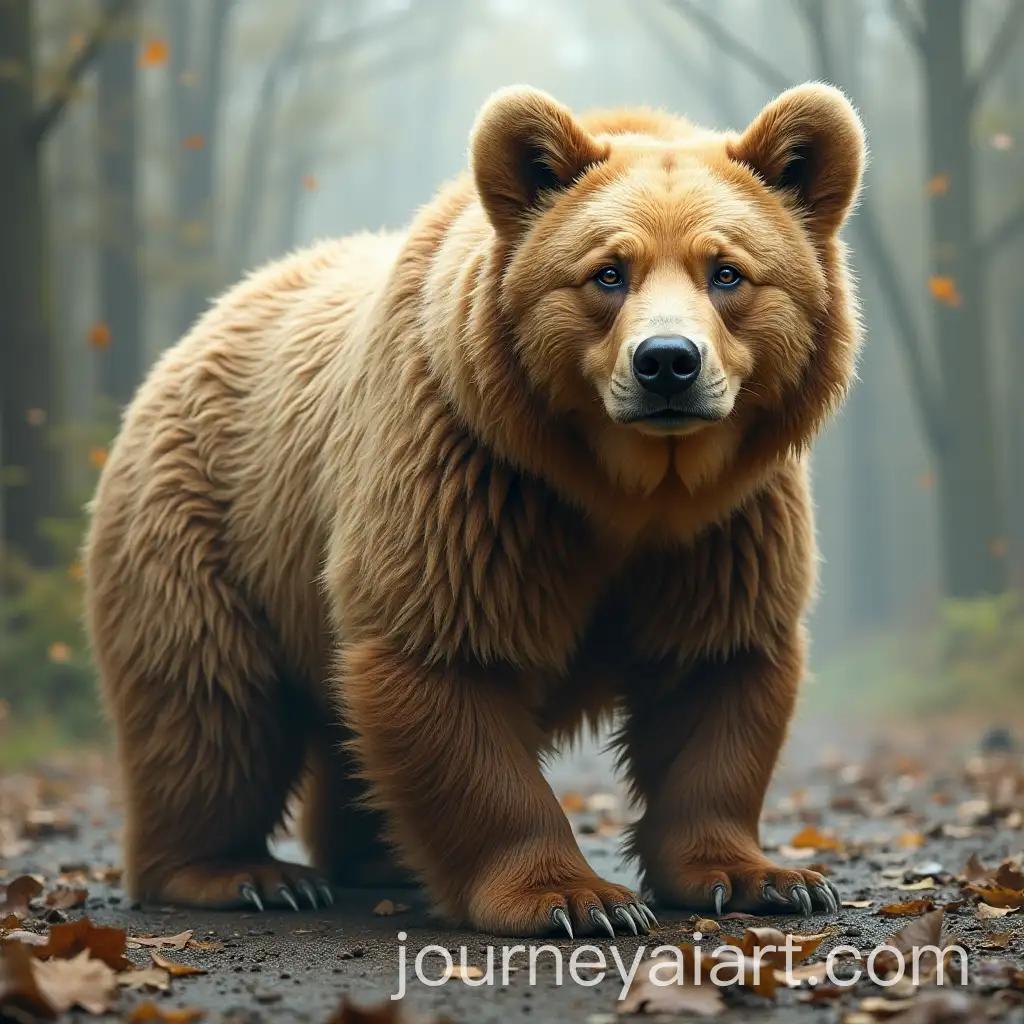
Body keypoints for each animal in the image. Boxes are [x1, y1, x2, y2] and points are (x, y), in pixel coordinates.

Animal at [83, 82, 865, 937]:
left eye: (727, 271)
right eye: (607, 272)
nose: (667, 364)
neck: (629, 489)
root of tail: (195, 331)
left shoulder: (725, 525)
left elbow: (715, 672)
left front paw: (765, 876)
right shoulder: (474, 477)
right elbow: (445, 657)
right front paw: (576, 898)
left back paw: (375, 859)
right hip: (203, 519)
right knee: (209, 703)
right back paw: (242, 872)